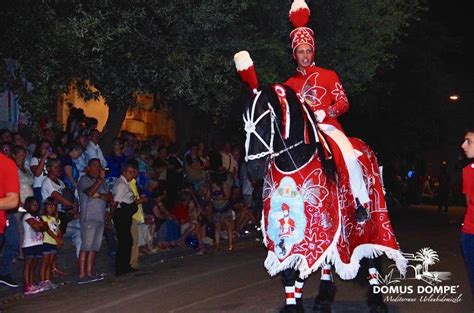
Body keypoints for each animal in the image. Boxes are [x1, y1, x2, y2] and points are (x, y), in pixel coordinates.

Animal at [243, 84, 406, 310]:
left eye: (266, 122)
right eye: (245, 124)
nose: (254, 168)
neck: (294, 162)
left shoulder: (320, 223)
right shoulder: (294, 233)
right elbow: (292, 272)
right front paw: (294, 303)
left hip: (370, 219)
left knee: (371, 255)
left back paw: (377, 300)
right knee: (328, 260)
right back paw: (324, 296)